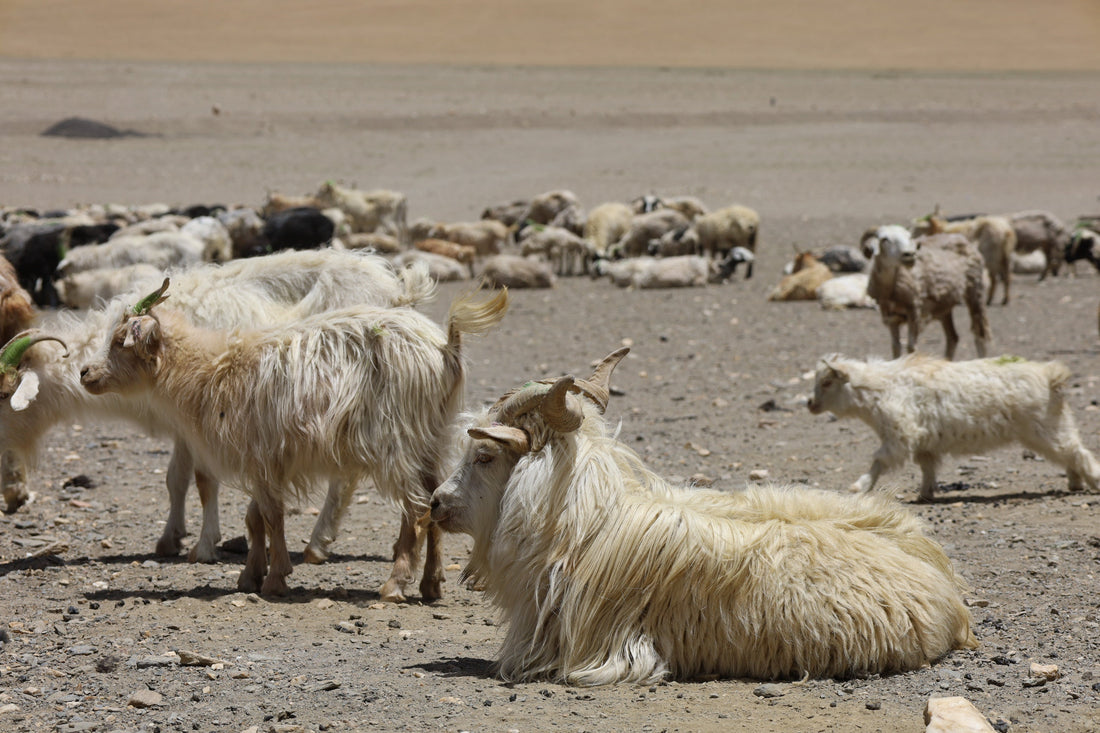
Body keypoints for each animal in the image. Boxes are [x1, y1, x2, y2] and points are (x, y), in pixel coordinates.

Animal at [1, 248, 433, 561]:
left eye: (5, 397)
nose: (12, 496)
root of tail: (399, 291)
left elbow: (203, 480)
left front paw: (204, 545)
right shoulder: (182, 425)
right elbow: (175, 480)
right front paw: (171, 538)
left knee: (344, 478)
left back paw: (316, 544)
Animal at [81, 281, 510, 598]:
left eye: (120, 341)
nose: (85, 373)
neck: (210, 370)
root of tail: (445, 345)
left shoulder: (261, 453)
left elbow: (272, 517)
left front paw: (275, 578)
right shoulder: (264, 460)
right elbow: (254, 519)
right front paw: (249, 576)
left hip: (395, 441)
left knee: (416, 510)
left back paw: (394, 584)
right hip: (429, 438)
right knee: (434, 502)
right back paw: (431, 585)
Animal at [809, 352, 1100, 499]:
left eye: (827, 382)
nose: (810, 404)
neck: (882, 386)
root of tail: (1051, 375)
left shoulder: (899, 434)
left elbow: (879, 461)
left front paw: (860, 486)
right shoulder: (924, 441)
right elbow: (927, 466)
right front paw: (925, 493)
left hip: (1044, 427)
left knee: (1076, 452)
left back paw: (1093, 482)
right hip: (1052, 426)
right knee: (1070, 452)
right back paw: (1075, 483)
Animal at [862, 224, 994, 358]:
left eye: (909, 237)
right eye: (885, 239)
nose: (909, 254)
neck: (890, 288)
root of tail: (961, 238)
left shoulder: (914, 312)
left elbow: (911, 347)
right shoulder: (891, 317)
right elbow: (895, 347)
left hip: (975, 291)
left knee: (979, 335)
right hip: (944, 306)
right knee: (952, 338)